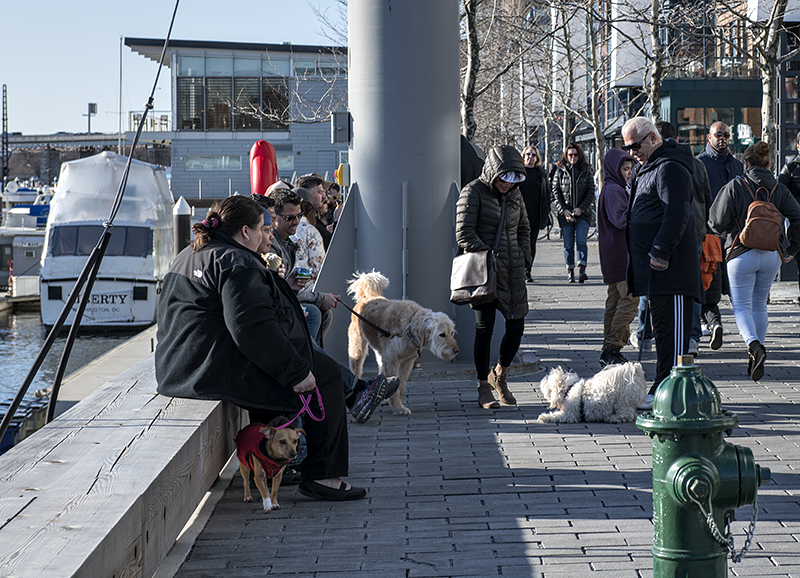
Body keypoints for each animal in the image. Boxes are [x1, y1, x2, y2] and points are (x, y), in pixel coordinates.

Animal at [346, 270, 460, 414]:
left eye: (452, 333)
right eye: (442, 334)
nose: (456, 350)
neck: (409, 327)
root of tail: (367, 296)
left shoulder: (407, 363)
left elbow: (400, 386)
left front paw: (397, 405)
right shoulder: (392, 362)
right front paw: (398, 408)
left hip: (381, 355)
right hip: (357, 349)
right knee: (356, 370)